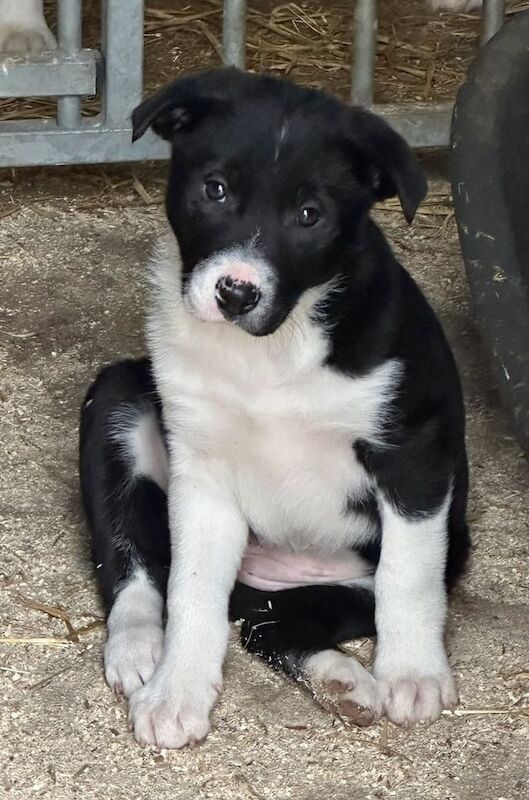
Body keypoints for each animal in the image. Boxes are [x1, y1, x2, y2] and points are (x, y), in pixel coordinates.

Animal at [80, 69, 468, 752]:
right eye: (215, 189)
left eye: (310, 215)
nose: (236, 293)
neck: (271, 352)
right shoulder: (202, 468)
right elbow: (192, 590)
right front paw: (177, 692)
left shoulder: (415, 449)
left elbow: (410, 572)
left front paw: (414, 673)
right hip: (119, 397)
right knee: (139, 566)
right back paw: (139, 648)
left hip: (360, 576)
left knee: (276, 624)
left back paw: (347, 681)